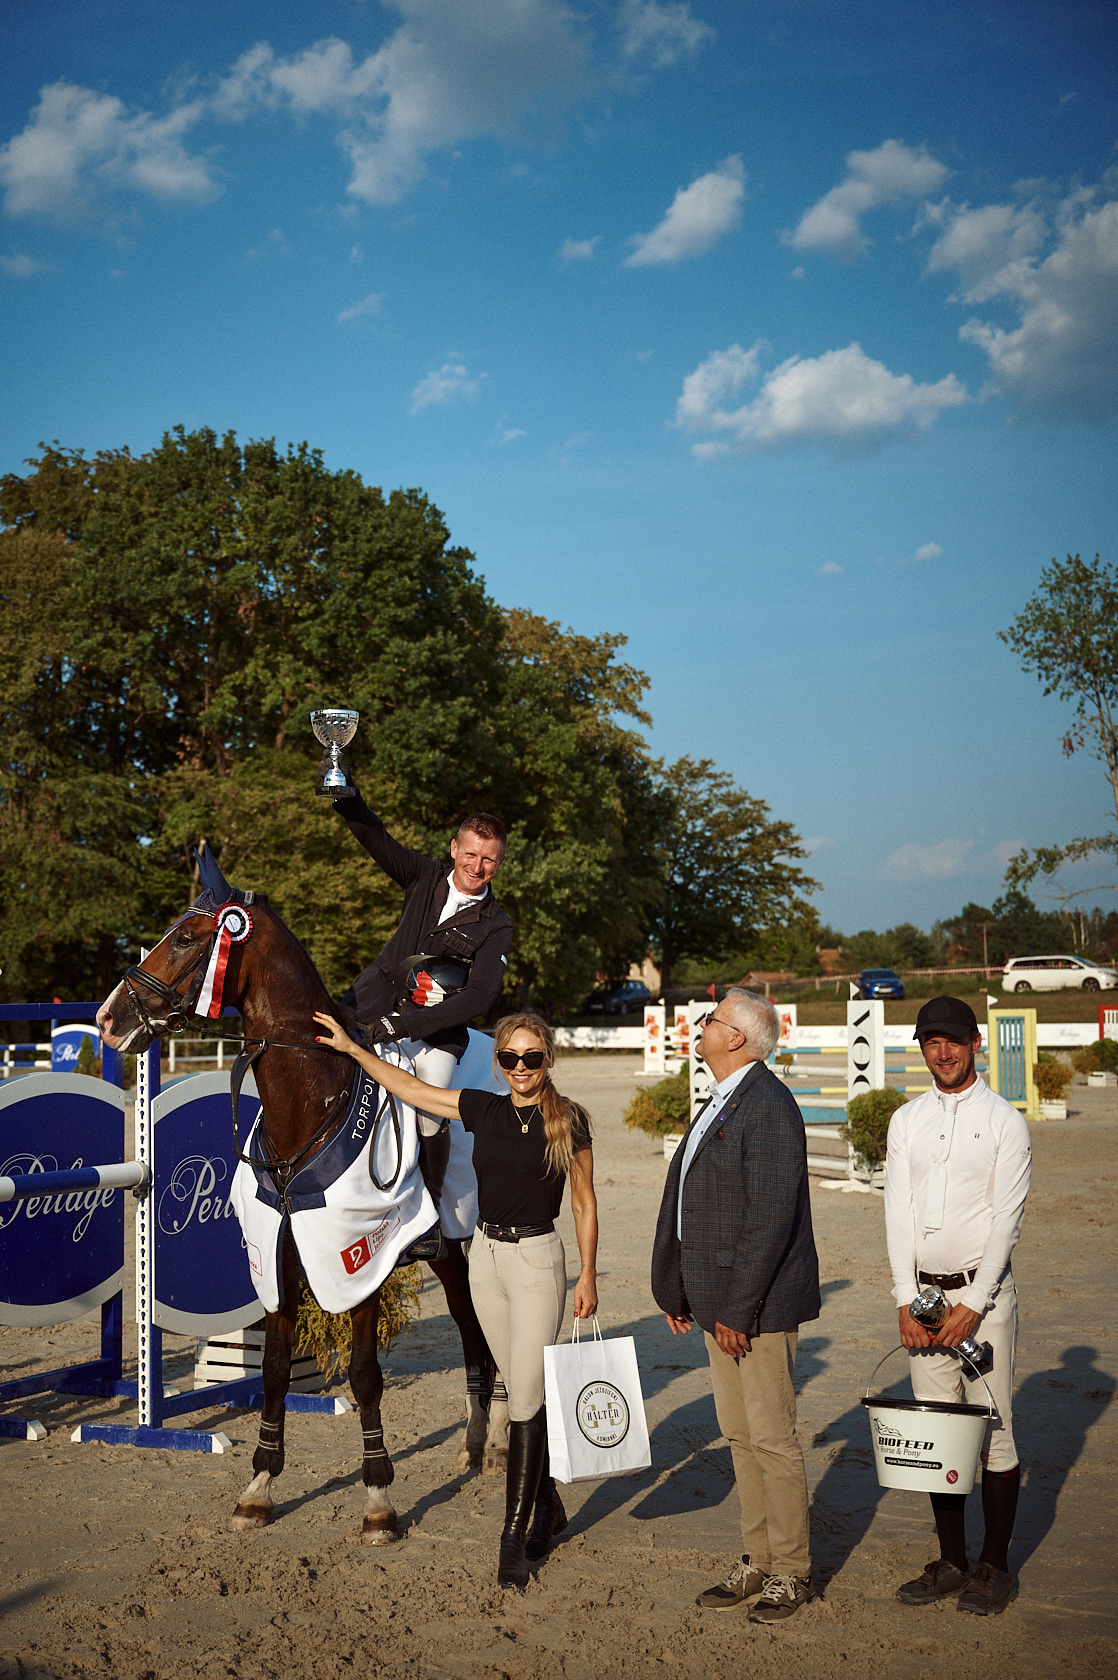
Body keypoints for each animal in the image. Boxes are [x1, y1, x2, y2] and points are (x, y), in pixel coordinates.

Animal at [95, 873, 504, 1538]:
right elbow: (274, 1371)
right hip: (448, 1254)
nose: (109, 1018)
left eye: (185, 938)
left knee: (484, 1332)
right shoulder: (278, 1261)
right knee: (472, 1332)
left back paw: (492, 1443)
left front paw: (378, 1500)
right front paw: (258, 1488)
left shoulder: (361, 1263)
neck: (310, 1105)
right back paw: (473, 1442)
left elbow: (364, 1375)